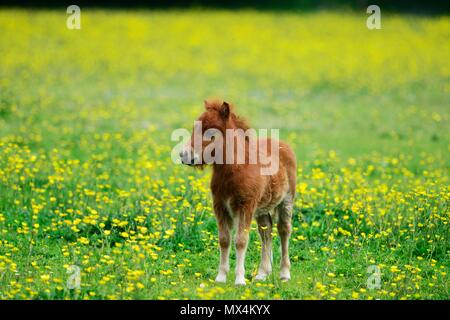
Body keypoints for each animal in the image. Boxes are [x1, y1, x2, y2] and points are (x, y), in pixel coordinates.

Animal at [181, 99, 298, 284]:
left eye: (210, 131)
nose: (184, 155)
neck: (235, 169)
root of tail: (283, 144)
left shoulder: (246, 206)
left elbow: (241, 241)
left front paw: (239, 280)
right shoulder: (220, 206)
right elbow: (224, 240)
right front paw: (221, 277)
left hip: (286, 200)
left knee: (284, 230)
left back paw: (284, 274)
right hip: (261, 208)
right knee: (266, 231)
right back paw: (262, 273)